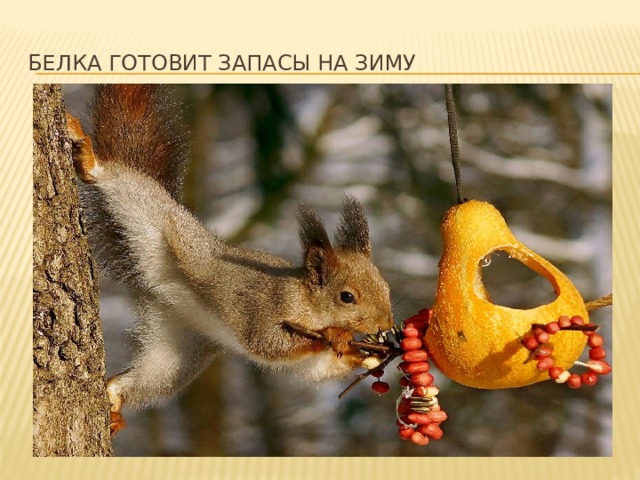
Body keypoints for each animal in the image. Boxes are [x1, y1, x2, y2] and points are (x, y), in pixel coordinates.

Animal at [65, 85, 394, 435]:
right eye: (347, 297)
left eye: (386, 288)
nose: (386, 325)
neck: (306, 301)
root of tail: (162, 290)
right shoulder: (264, 307)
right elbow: (269, 344)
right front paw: (338, 336)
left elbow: (317, 367)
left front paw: (366, 354)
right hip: (152, 214)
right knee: (116, 180)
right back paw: (88, 158)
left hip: (179, 349)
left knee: (145, 380)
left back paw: (114, 399)